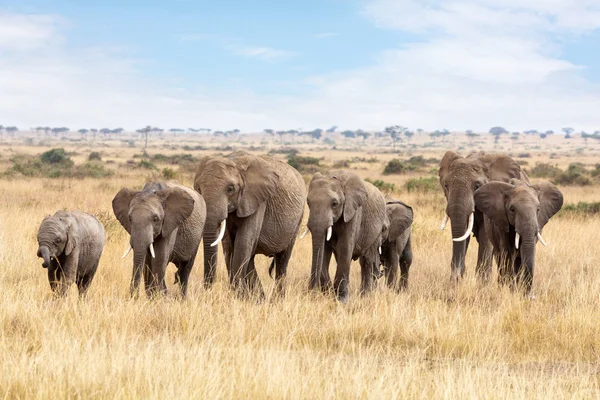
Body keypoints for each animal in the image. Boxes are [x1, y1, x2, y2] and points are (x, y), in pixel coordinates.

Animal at [193, 152, 304, 298]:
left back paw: (276, 299)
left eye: (230, 189)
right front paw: (240, 296)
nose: (207, 289)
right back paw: (260, 299)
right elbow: (229, 246)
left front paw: (237, 297)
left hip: (298, 218)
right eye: (198, 189)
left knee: (282, 260)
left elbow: (243, 242)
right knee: (250, 258)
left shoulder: (258, 200)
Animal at [308, 170, 386, 304]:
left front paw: (341, 301)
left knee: (367, 261)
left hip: (377, 232)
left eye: (334, 204)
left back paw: (365, 296)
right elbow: (324, 250)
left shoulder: (353, 212)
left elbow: (344, 247)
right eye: (308, 202)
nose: (311, 293)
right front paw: (328, 293)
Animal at [438, 151, 528, 284]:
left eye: (477, 186)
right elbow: (464, 234)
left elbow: (485, 234)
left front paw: (482, 284)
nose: (456, 278)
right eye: (446, 185)